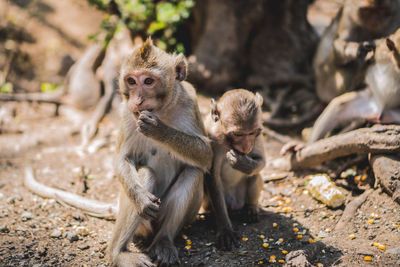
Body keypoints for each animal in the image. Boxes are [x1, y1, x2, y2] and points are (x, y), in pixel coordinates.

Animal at [108, 38, 211, 267]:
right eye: (131, 81)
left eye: (148, 81)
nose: (137, 100)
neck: (162, 111)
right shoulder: (127, 113)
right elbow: (123, 159)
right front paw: (141, 199)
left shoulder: (190, 103)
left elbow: (205, 154)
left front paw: (159, 130)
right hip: (144, 224)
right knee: (146, 174)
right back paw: (118, 253)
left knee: (193, 172)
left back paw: (163, 242)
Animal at [203, 89, 266, 251]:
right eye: (238, 134)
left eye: (252, 132)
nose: (246, 147)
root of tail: (235, 204)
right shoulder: (211, 139)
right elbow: (212, 177)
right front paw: (225, 229)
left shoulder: (259, 136)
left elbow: (261, 161)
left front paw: (243, 163)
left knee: (255, 176)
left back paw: (251, 207)